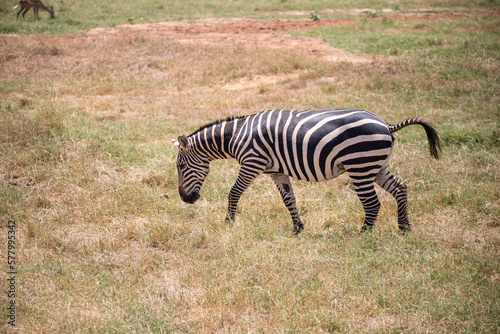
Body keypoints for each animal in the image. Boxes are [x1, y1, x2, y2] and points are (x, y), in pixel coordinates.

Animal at [173, 108, 442, 234]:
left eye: (181, 166)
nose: (186, 199)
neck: (236, 136)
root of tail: (386, 124)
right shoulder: (276, 171)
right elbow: (289, 199)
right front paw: (297, 228)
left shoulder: (252, 163)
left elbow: (234, 192)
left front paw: (229, 222)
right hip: (376, 166)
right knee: (400, 188)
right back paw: (404, 227)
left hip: (360, 167)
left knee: (372, 203)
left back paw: (364, 233)